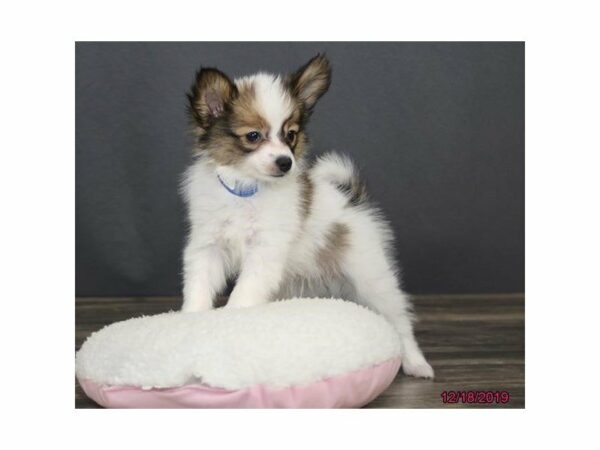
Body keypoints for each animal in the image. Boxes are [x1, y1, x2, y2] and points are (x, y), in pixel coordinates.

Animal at [180, 56, 434, 380]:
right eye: (253, 136)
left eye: (290, 134)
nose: (285, 162)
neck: (247, 192)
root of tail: (353, 200)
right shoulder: (207, 246)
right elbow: (199, 286)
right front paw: (190, 319)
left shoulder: (265, 252)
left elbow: (243, 293)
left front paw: (231, 321)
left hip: (372, 276)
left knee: (399, 322)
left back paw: (415, 363)